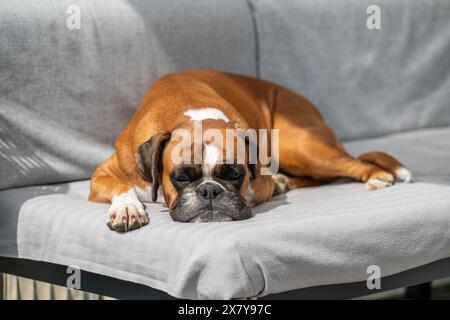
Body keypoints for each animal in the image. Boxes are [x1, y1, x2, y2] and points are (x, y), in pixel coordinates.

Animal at [89, 69, 412, 231]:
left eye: (234, 173)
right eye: (180, 177)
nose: (209, 190)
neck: (188, 113)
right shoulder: (101, 176)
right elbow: (121, 187)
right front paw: (127, 208)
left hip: (299, 146)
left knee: (349, 163)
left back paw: (378, 176)